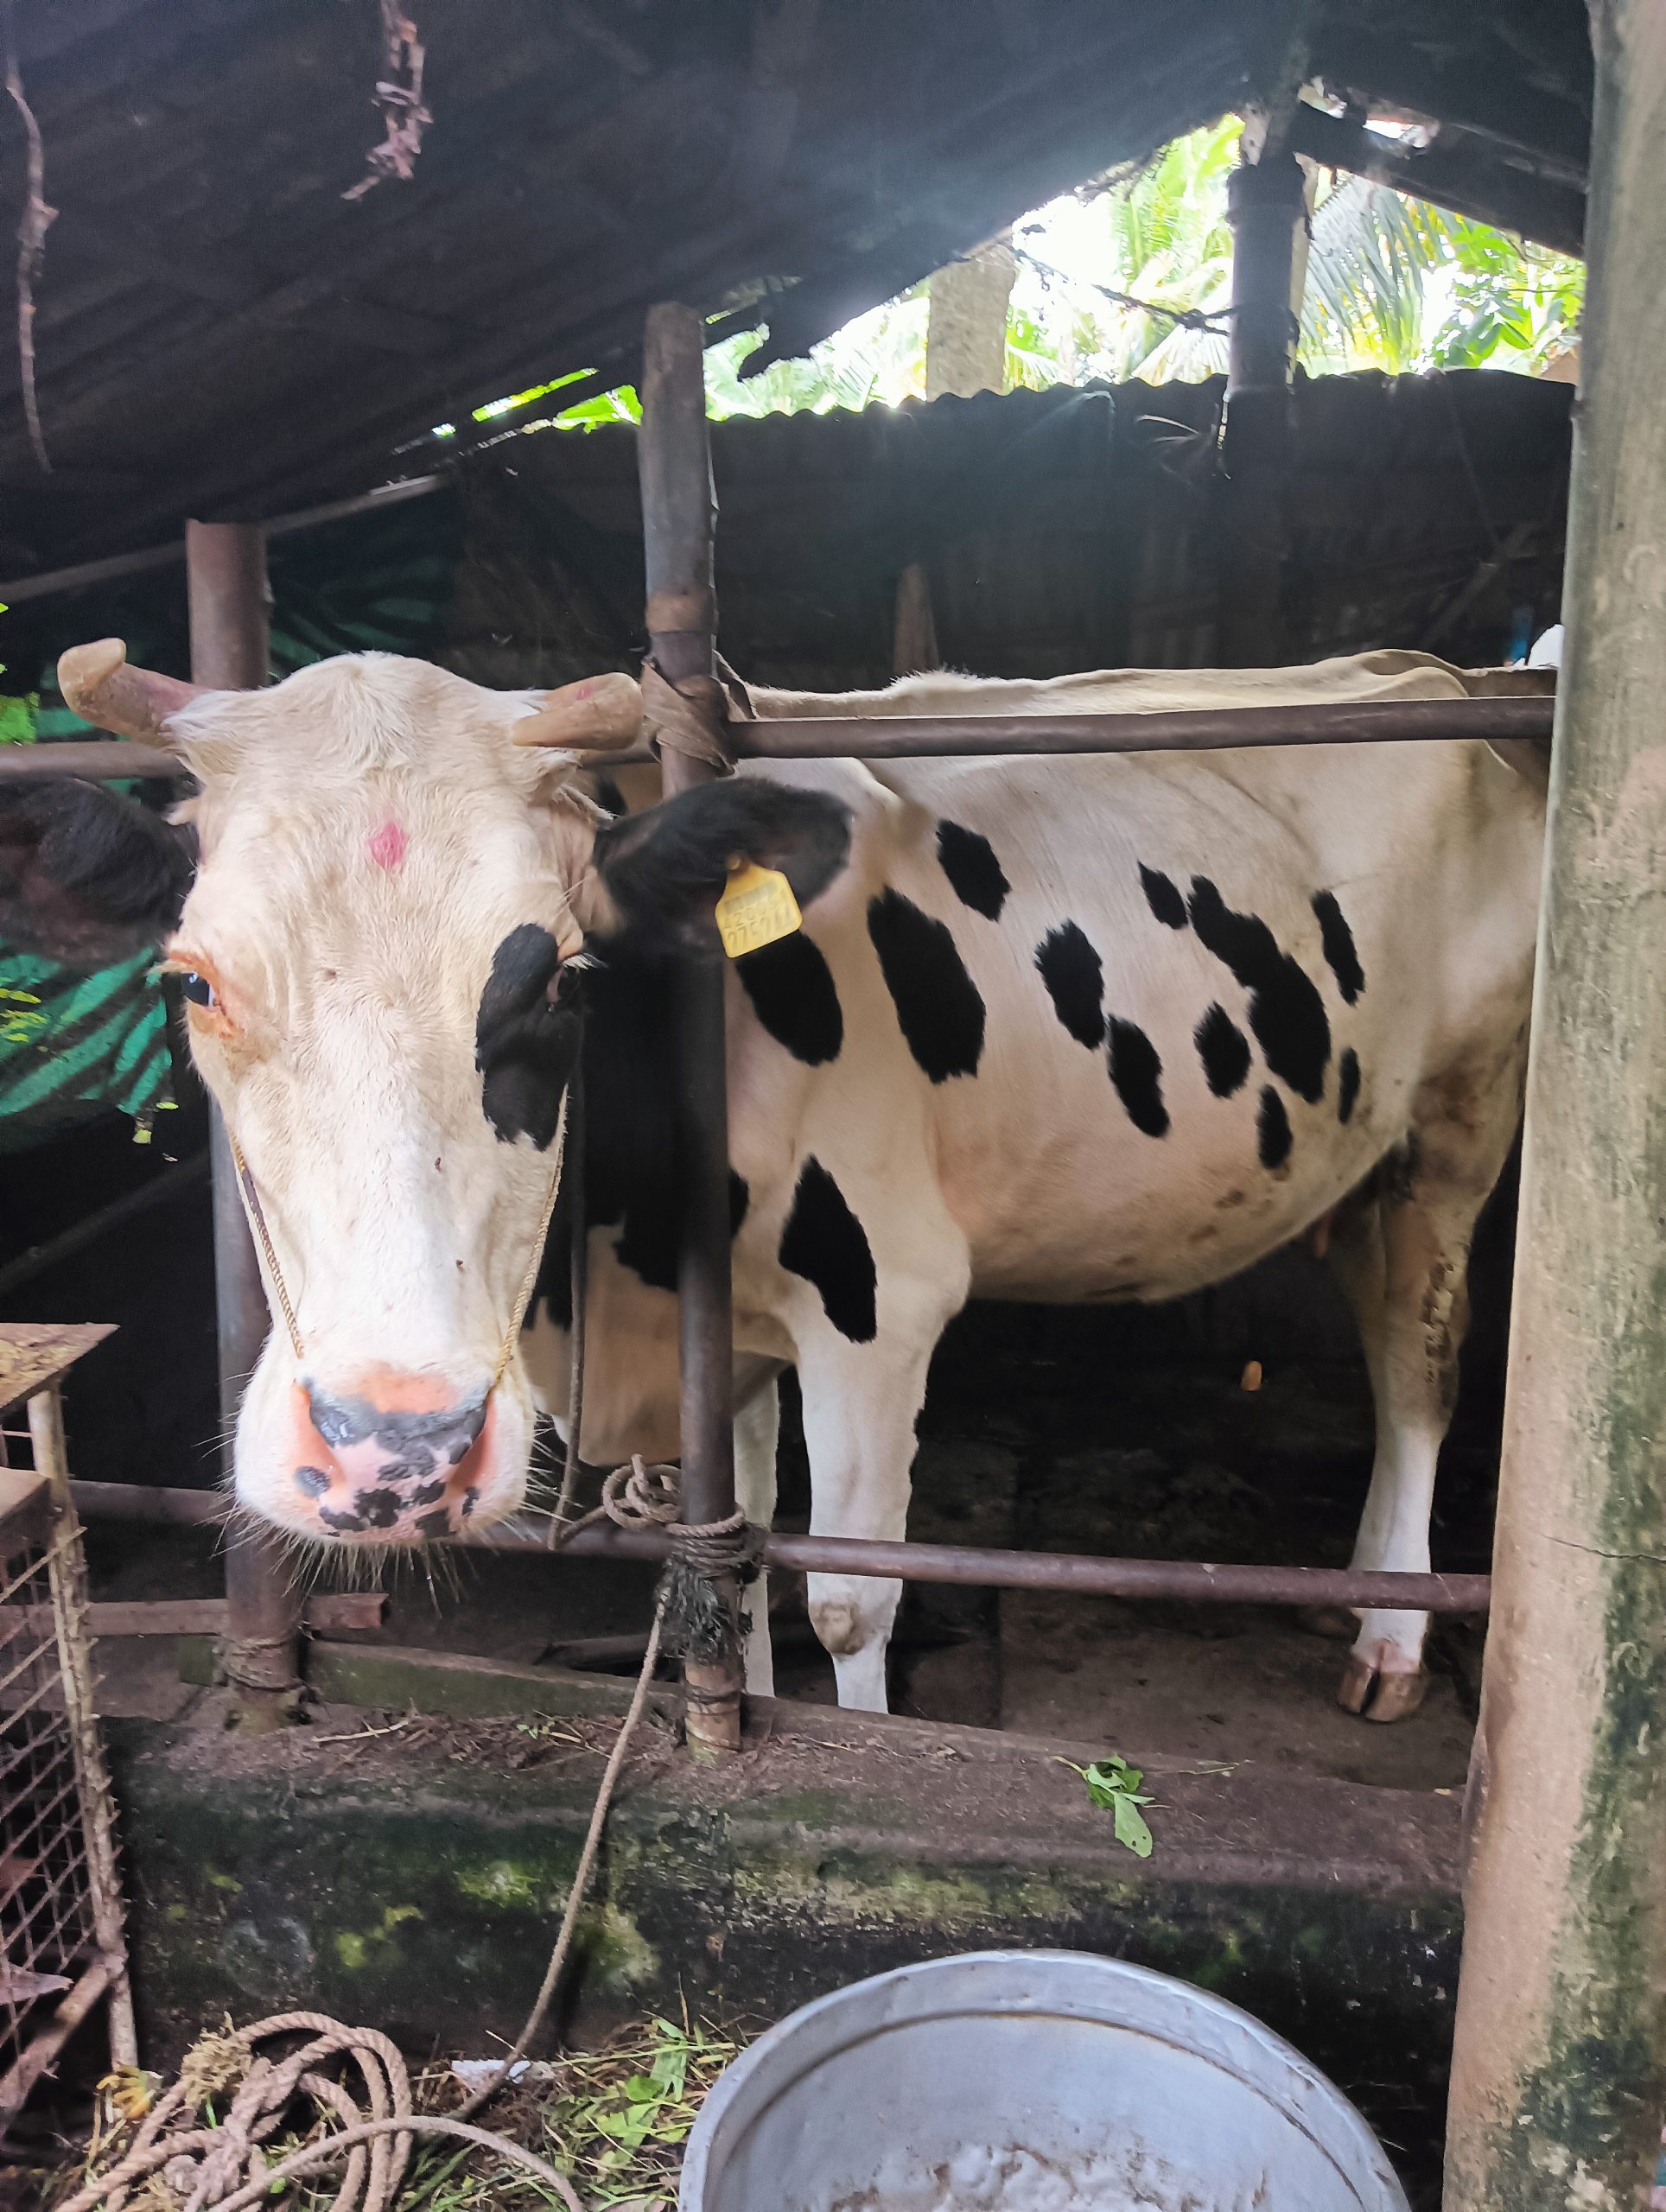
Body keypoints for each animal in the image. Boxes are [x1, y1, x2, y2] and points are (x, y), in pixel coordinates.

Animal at [0, 641, 1545, 1722]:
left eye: (559, 979)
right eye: (194, 982)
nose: (396, 1456)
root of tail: (1416, 674)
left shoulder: (883, 1305)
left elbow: (853, 1600)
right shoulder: (725, 1330)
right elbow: (730, 1586)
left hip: (1464, 1125)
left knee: (1420, 1363)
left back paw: (1393, 1636)